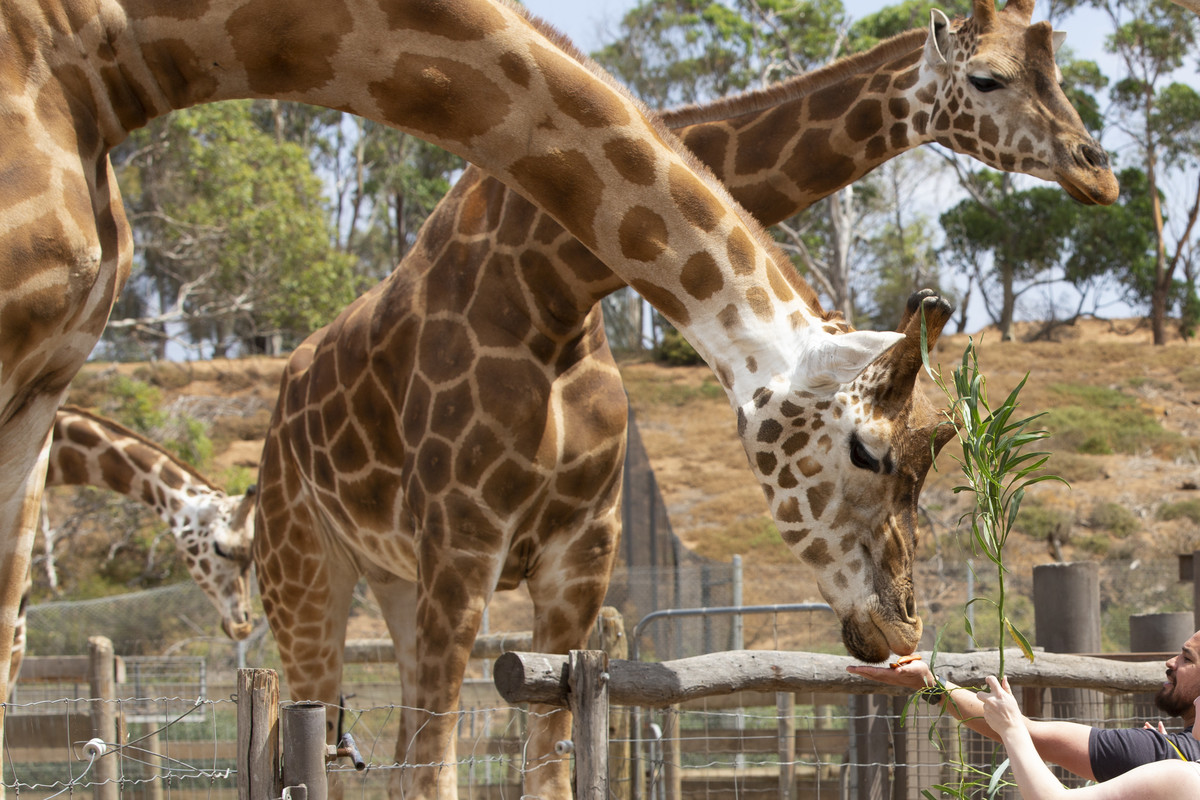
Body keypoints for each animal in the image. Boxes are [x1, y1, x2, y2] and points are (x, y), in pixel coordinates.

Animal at [250, 0, 1113, 796]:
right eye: (988, 78)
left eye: (1057, 75)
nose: (1097, 168)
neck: (550, 281)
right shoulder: (461, 540)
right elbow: (437, 769)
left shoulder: (580, 551)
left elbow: (544, 764)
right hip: (304, 569)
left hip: (394, 578)